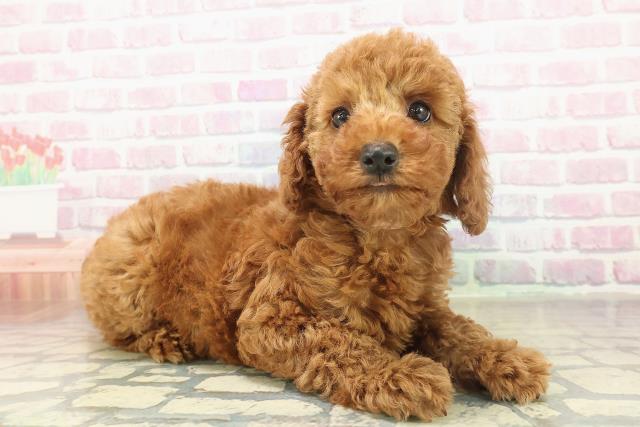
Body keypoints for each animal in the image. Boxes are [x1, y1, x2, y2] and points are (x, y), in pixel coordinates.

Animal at [81, 30, 550, 421]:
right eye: (340, 116)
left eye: (420, 110)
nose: (378, 154)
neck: (376, 237)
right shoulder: (269, 319)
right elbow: (339, 340)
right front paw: (400, 375)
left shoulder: (424, 309)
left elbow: (458, 329)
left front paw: (505, 358)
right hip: (128, 281)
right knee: (122, 332)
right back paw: (165, 340)